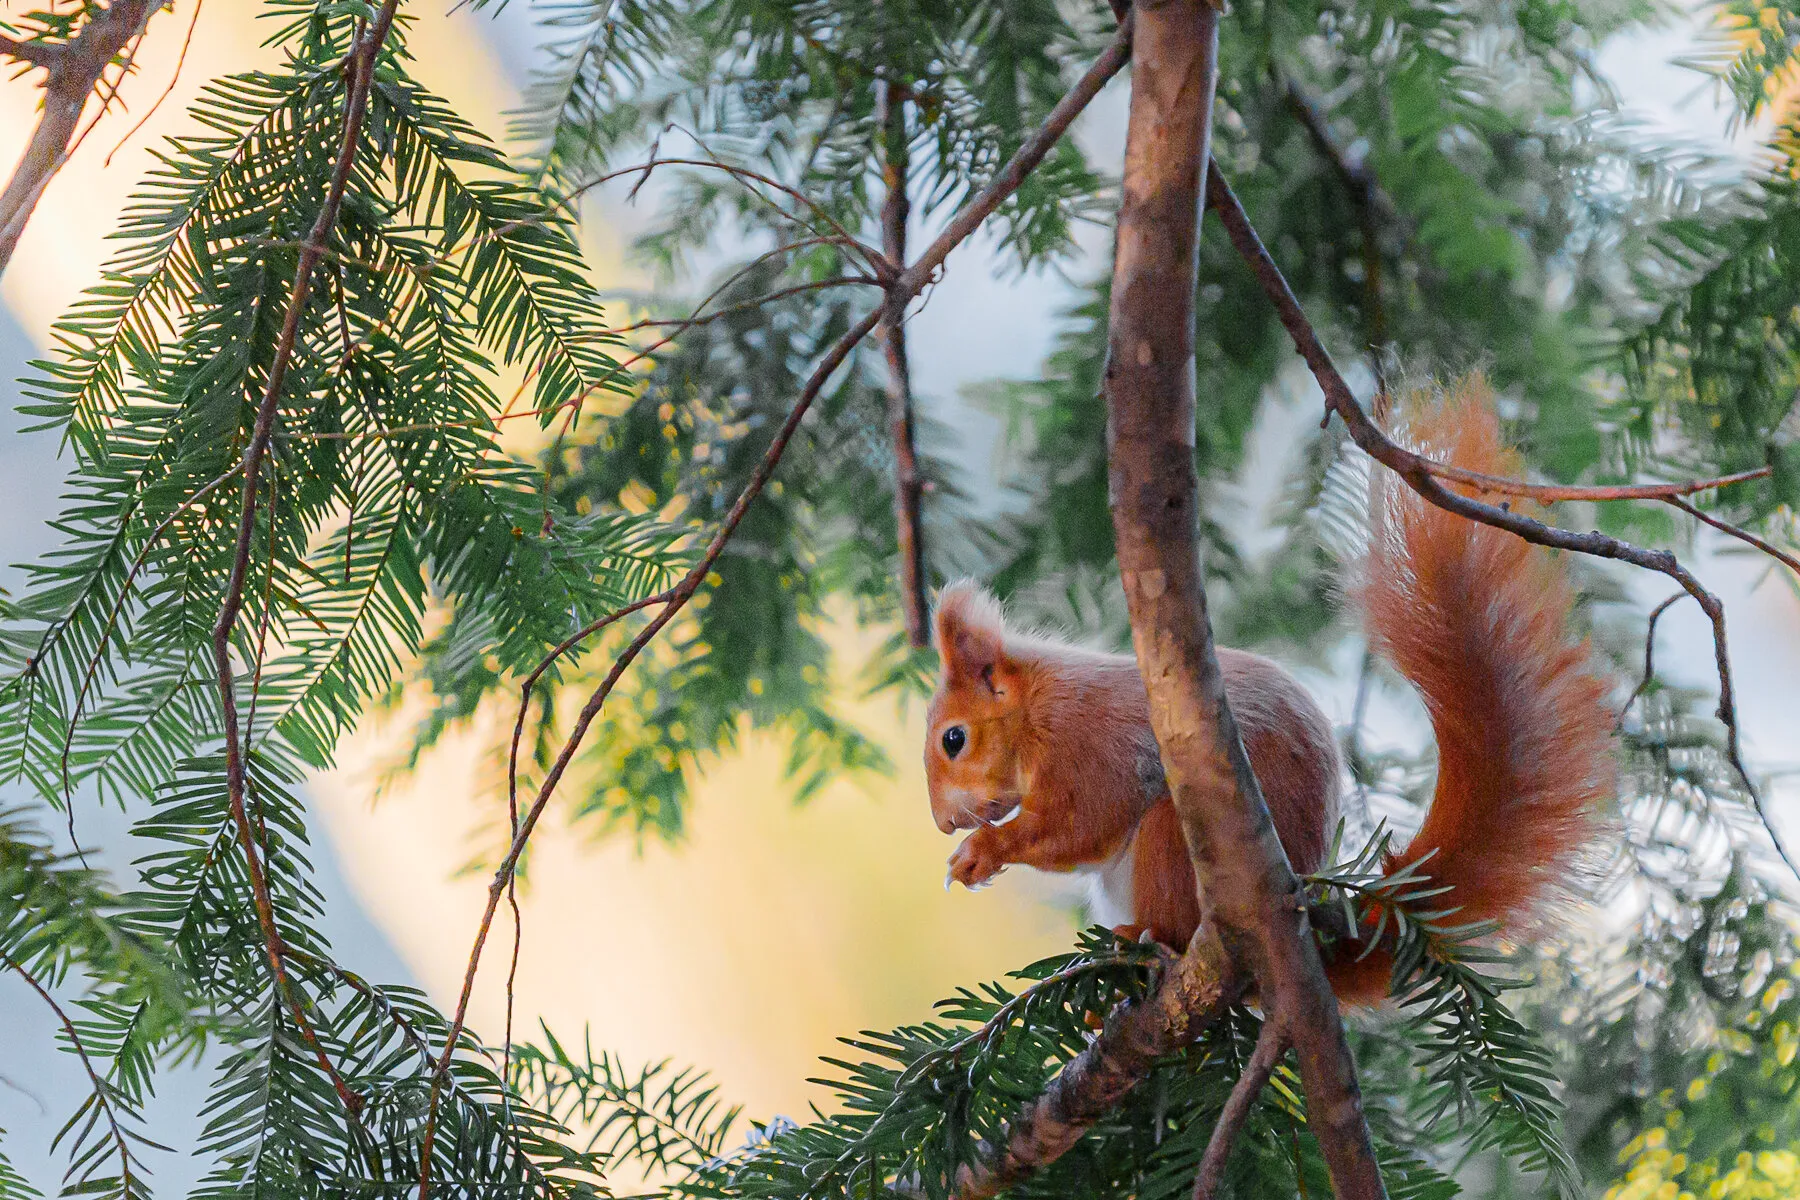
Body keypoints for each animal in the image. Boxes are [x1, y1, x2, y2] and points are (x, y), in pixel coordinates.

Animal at [922, 385, 1616, 1004]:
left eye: (954, 739)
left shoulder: (1088, 743)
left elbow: (1081, 821)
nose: (944, 822)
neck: (1036, 710)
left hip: (1174, 845)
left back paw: (1141, 940)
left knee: (1171, 917)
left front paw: (982, 852)